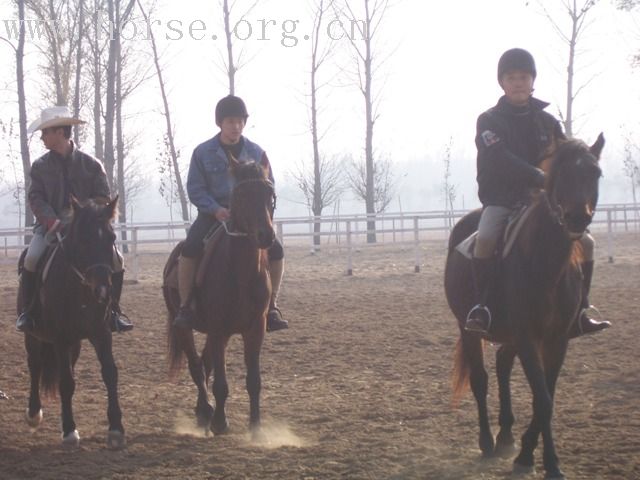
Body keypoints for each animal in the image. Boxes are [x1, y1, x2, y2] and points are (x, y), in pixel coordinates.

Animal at [18, 196, 126, 450]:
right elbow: (66, 381)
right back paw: (34, 413)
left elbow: (110, 373)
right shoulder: (59, 337)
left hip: (74, 343)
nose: (103, 290)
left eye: (111, 238)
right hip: (33, 336)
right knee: (35, 366)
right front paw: (69, 431)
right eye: (83, 239)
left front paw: (116, 428)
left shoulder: (101, 333)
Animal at [162, 159, 276, 436]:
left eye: (268, 194)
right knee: (196, 366)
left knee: (205, 364)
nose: (266, 235)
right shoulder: (217, 327)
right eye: (242, 194)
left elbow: (254, 380)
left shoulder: (256, 327)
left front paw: (256, 428)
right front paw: (221, 422)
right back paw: (206, 411)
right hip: (184, 326)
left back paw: (203, 412)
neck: (242, 273)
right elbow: (221, 383)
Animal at [444, 133, 604, 478]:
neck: (546, 264)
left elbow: (546, 397)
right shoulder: (529, 337)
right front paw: (544, 463)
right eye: (560, 173)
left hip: (511, 335)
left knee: (503, 363)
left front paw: (533, 456)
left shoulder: (556, 339)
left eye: (595, 173)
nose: (578, 218)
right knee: (480, 379)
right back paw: (488, 442)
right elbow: (542, 399)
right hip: (468, 328)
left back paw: (506, 436)